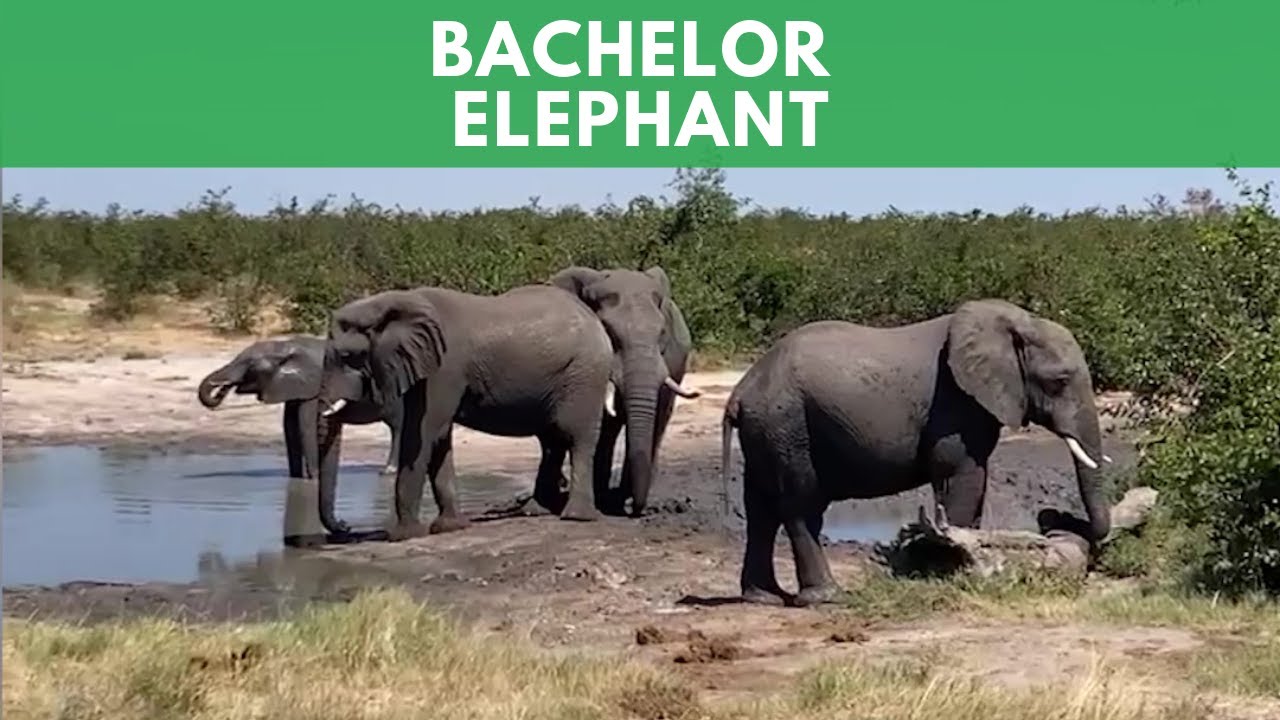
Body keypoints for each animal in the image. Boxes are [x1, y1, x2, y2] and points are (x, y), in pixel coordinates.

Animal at [196, 336, 404, 536]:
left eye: (250, 364)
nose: (222, 387)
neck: (286, 346)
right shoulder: (292, 387)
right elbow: (289, 428)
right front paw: (296, 479)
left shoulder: (313, 387)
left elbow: (306, 426)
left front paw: (313, 478)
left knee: (397, 427)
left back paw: (388, 471)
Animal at [317, 283, 614, 541]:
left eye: (347, 357)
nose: (346, 526)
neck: (393, 302)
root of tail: (594, 320)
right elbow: (438, 437)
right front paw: (451, 527)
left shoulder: (445, 367)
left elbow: (424, 432)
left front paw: (403, 536)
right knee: (552, 441)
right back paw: (536, 511)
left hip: (584, 373)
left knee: (577, 436)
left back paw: (576, 517)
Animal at [719, 299, 1113, 607]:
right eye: (1059, 381)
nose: (1052, 519)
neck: (1015, 321)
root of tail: (740, 392)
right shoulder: (954, 405)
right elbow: (961, 477)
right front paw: (948, 571)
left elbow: (976, 483)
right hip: (787, 425)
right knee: (801, 508)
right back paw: (825, 598)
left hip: (766, 432)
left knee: (760, 510)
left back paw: (764, 598)